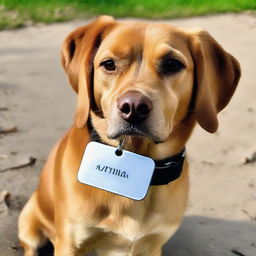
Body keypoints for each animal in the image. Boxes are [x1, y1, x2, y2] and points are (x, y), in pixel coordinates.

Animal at [18, 16, 240, 256]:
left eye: (173, 64)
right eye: (109, 64)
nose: (133, 107)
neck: (136, 158)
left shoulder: (152, 246)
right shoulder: (70, 243)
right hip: (29, 224)